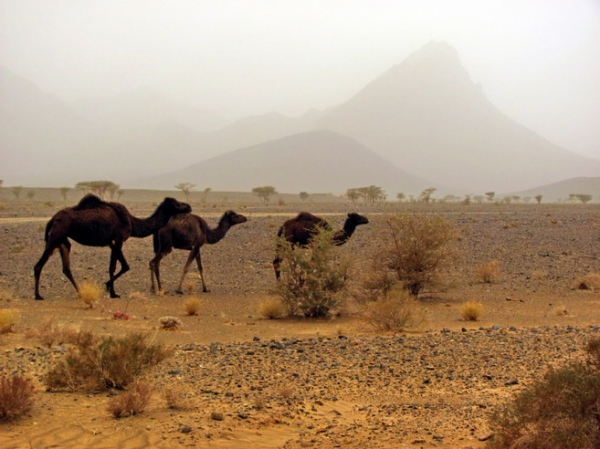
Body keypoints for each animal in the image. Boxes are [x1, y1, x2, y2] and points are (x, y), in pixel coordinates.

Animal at [33, 194, 192, 300]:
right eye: (176, 203)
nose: (189, 206)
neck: (132, 222)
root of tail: (53, 218)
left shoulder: (111, 242)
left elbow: (125, 266)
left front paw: (107, 285)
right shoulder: (119, 239)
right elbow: (114, 267)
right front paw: (113, 293)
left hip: (63, 240)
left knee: (66, 267)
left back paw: (80, 291)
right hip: (56, 235)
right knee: (39, 265)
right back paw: (38, 295)